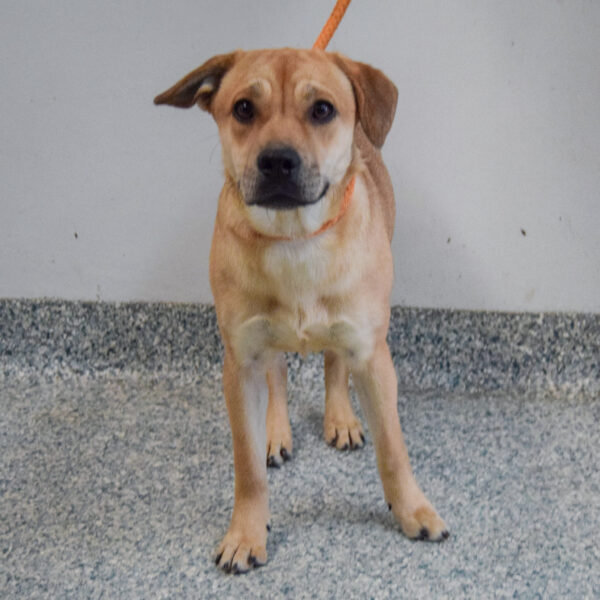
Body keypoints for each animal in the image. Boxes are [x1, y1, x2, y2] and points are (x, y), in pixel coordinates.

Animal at [155, 48, 448, 573]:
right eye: (244, 108)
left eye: (323, 110)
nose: (277, 160)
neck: (294, 239)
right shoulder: (241, 364)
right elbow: (247, 466)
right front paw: (246, 533)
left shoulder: (372, 356)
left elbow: (394, 449)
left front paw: (412, 510)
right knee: (278, 378)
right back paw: (276, 431)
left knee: (334, 364)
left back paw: (341, 418)